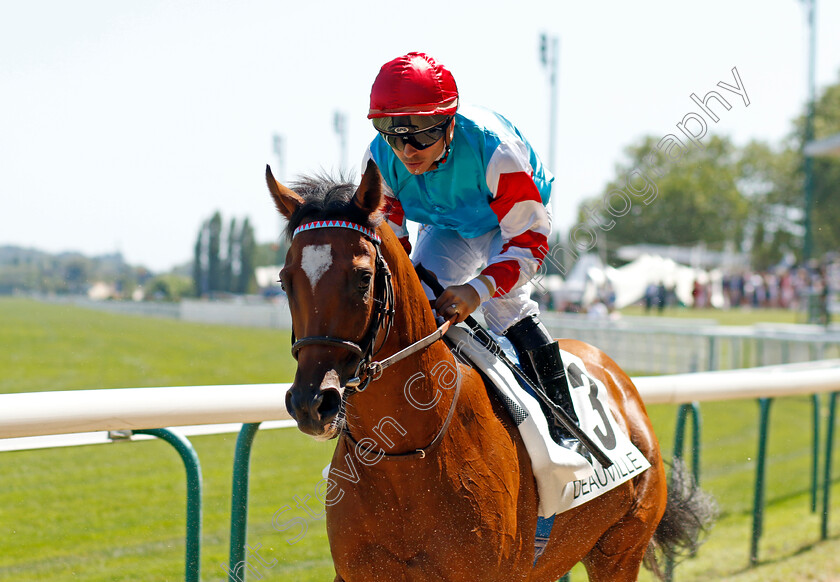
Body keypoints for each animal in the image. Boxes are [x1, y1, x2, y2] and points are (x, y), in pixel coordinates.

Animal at [270, 161, 716, 582]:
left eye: (363, 278)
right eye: (285, 280)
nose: (313, 403)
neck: (405, 454)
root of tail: (616, 376)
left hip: (620, 548)